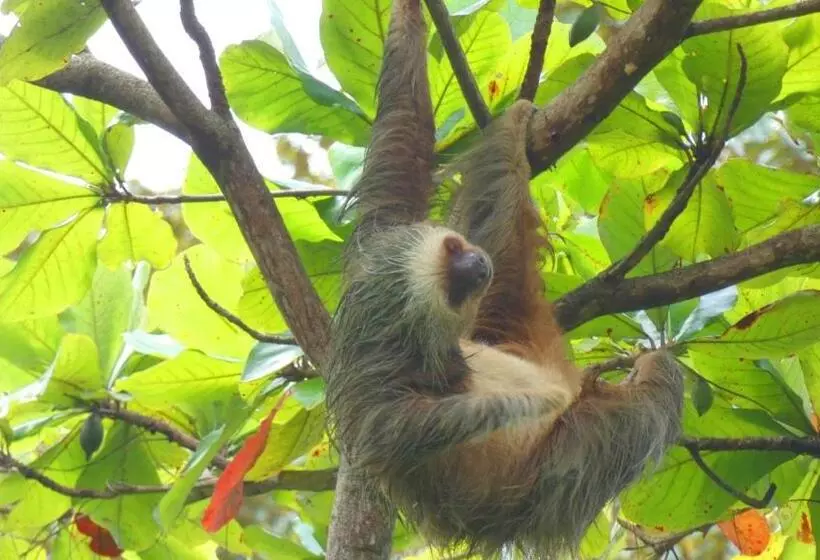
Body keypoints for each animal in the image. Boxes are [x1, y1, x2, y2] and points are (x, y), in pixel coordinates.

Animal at [324, 0, 684, 557]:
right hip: (562, 464)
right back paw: (647, 370)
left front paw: (408, 17)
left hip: (520, 328)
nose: (477, 267)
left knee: (501, 216)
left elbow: (399, 150)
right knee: (638, 412)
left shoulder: (378, 240)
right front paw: (531, 401)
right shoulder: (378, 404)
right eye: (454, 289)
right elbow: (412, 427)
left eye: (452, 249)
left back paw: (514, 126)